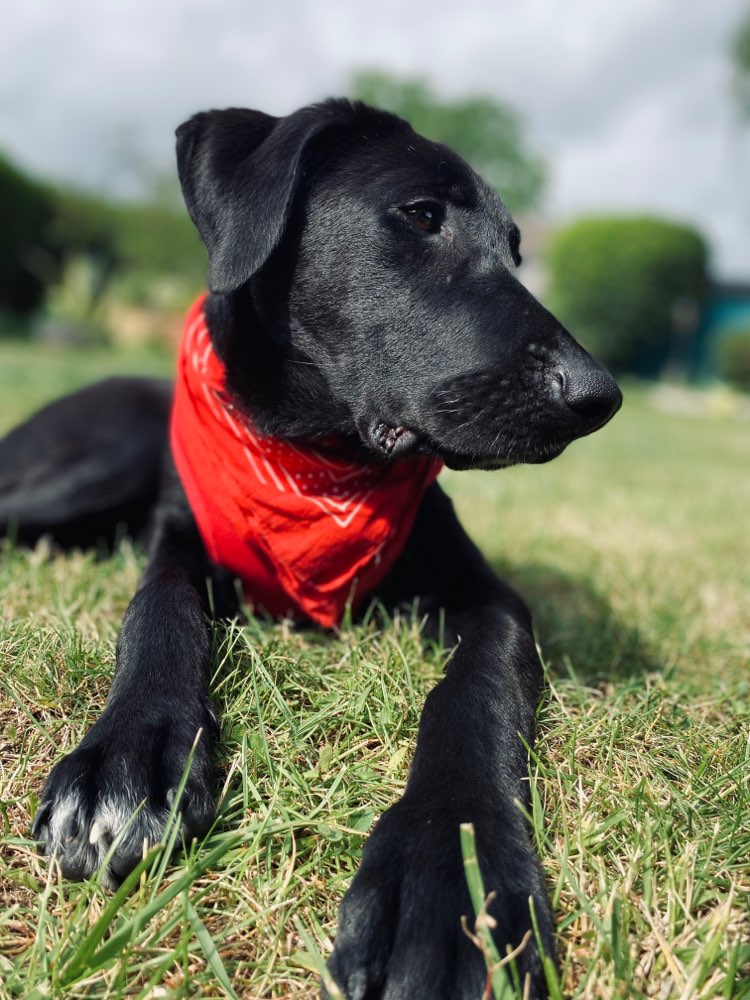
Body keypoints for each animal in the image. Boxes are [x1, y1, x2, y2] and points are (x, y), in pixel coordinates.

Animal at [1, 101, 624, 1000]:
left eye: (516, 248)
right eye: (421, 215)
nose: (599, 396)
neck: (316, 463)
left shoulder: (490, 598)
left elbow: (475, 690)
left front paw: (450, 873)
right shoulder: (177, 546)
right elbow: (159, 608)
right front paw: (128, 755)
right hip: (88, 463)